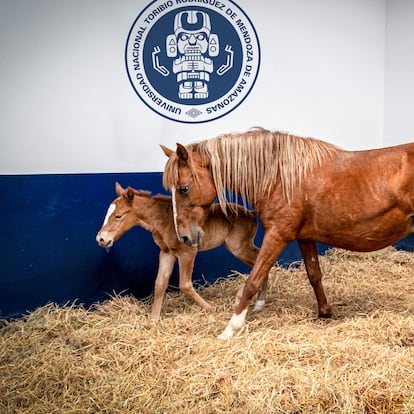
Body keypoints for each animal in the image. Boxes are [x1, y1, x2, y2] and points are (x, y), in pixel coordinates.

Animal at [96, 181, 266, 320]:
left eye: (118, 216)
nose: (101, 239)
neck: (165, 221)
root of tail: (251, 213)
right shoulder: (167, 252)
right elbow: (160, 283)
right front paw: (154, 320)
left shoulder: (187, 253)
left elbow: (185, 285)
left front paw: (210, 309)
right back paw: (258, 300)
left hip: (238, 247)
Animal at [163, 128, 414, 338]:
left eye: (184, 188)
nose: (184, 237)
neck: (278, 178)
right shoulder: (305, 237)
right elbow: (314, 275)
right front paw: (324, 313)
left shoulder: (278, 235)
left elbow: (253, 281)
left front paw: (231, 328)